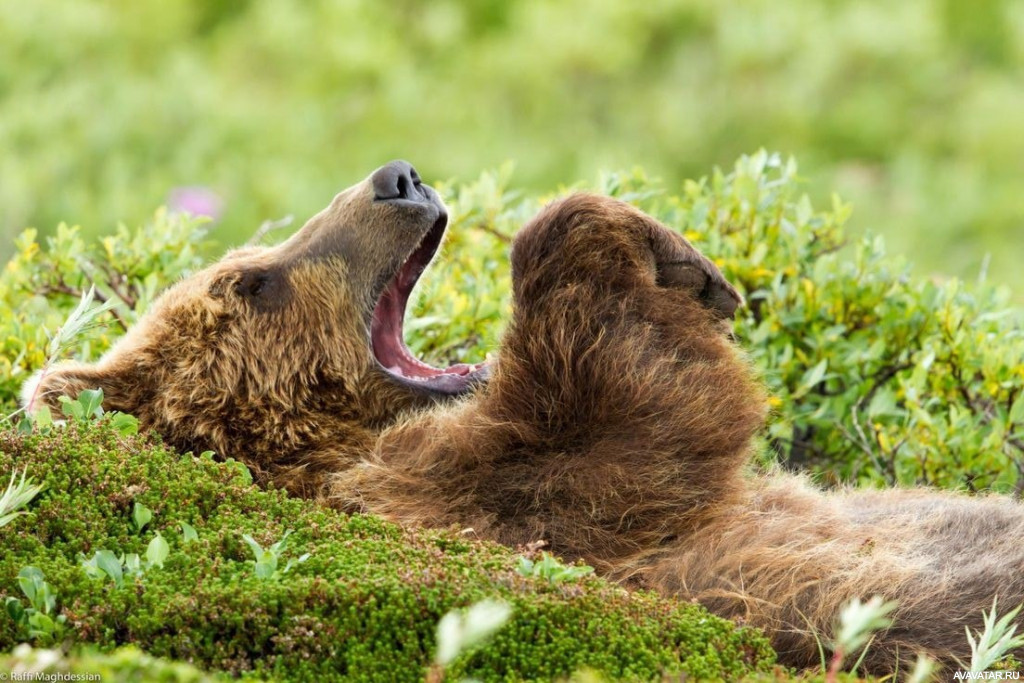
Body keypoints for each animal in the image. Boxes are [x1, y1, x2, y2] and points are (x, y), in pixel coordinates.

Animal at [22, 162, 1024, 675]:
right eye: (254, 280)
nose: (397, 177)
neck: (341, 443)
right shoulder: (482, 507)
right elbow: (630, 422)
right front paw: (668, 259)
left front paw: (680, 252)